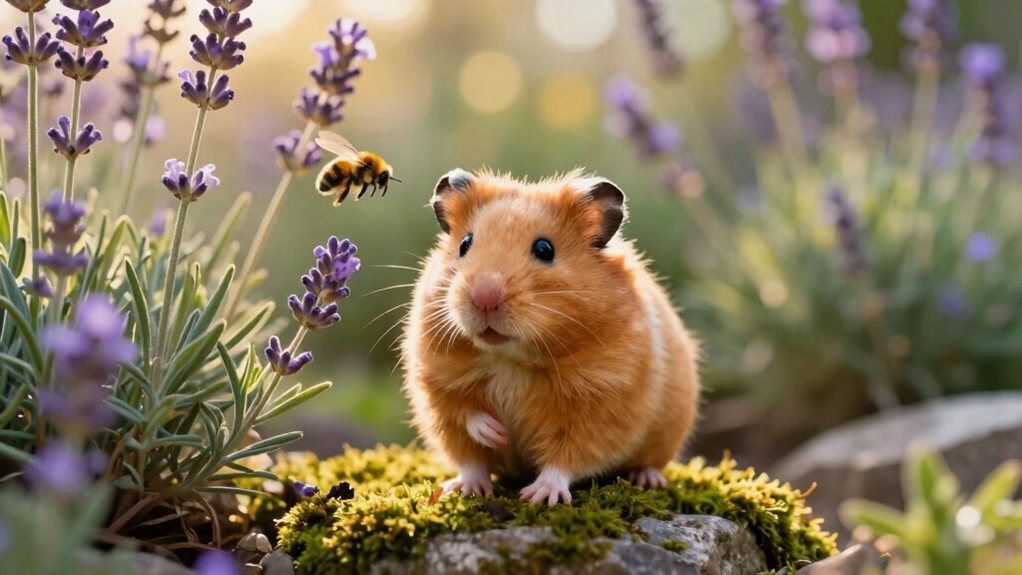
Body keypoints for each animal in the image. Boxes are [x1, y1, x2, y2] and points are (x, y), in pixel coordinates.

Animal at [401, 168, 700, 505]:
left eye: (545, 250)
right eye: (465, 243)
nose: (484, 298)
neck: (510, 359)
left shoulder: (601, 405)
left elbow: (566, 457)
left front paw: (539, 496)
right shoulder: (437, 385)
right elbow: (467, 421)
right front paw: (497, 434)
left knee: (648, 462)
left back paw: (648, 479)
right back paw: (466, 487)